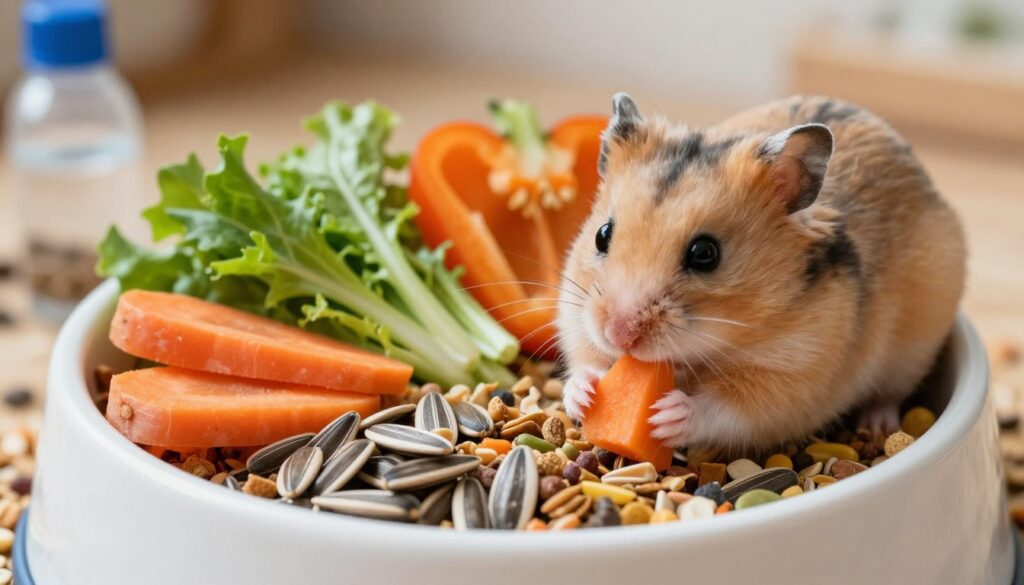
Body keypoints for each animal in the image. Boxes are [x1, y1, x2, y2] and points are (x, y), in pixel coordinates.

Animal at [556, 93, 966, 453]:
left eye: (705, 254)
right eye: (602, 234)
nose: (618, 335)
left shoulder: (792, 376)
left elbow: (728, 409)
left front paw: (666, 415)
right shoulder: (575, 318)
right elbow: (584, 358)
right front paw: (585, 394)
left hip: (912, 350)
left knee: (891, 394)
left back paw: (877, 423)